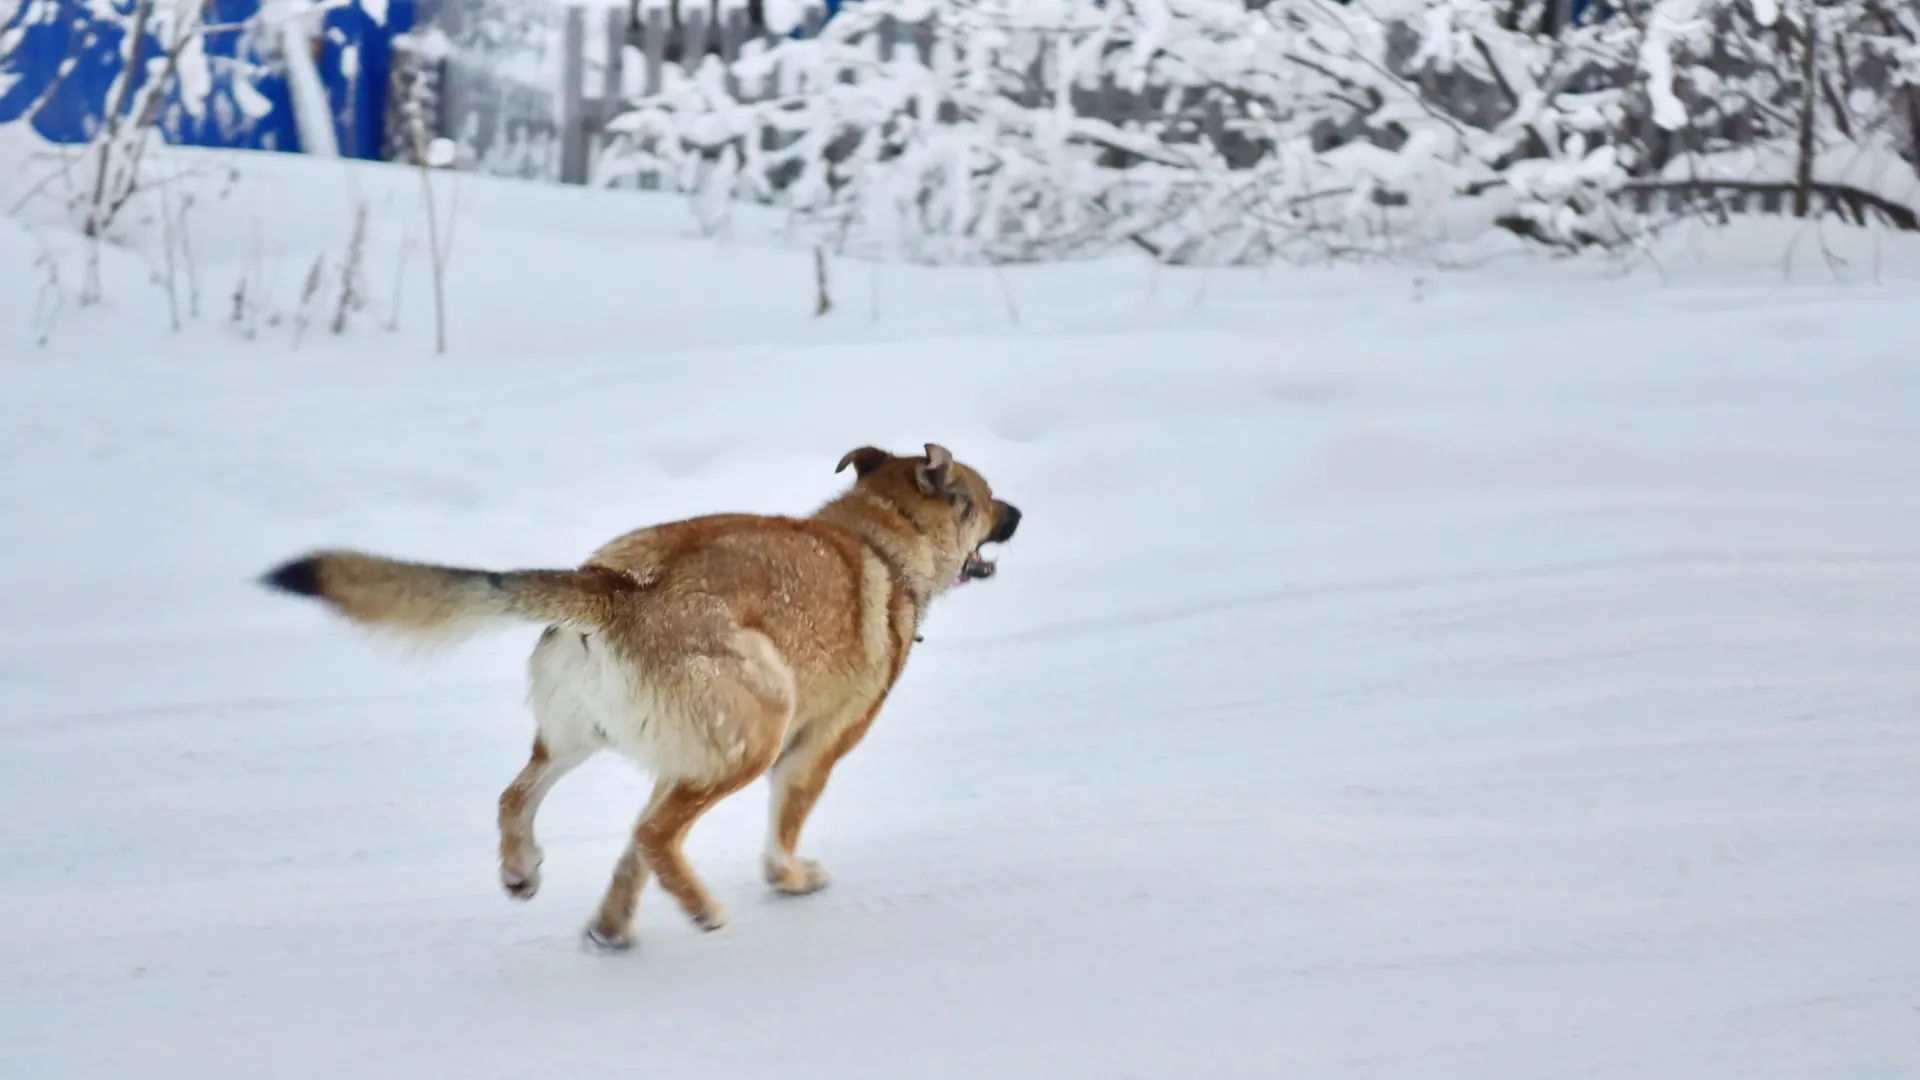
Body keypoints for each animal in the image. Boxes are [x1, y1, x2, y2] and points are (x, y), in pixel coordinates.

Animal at [266, 441, 1036, 945]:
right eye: (985, 499)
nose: (1020, 513)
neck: (881, 545)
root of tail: (617, 587)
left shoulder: (678, 761)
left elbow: (629, 858)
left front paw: (611, 924)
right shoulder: (811, 753)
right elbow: (776, 837)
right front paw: (790, 879)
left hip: (582, 739)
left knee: (528, 800)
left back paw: (527, 873)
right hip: (757, 734)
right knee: (654, 833)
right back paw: (703, 909)